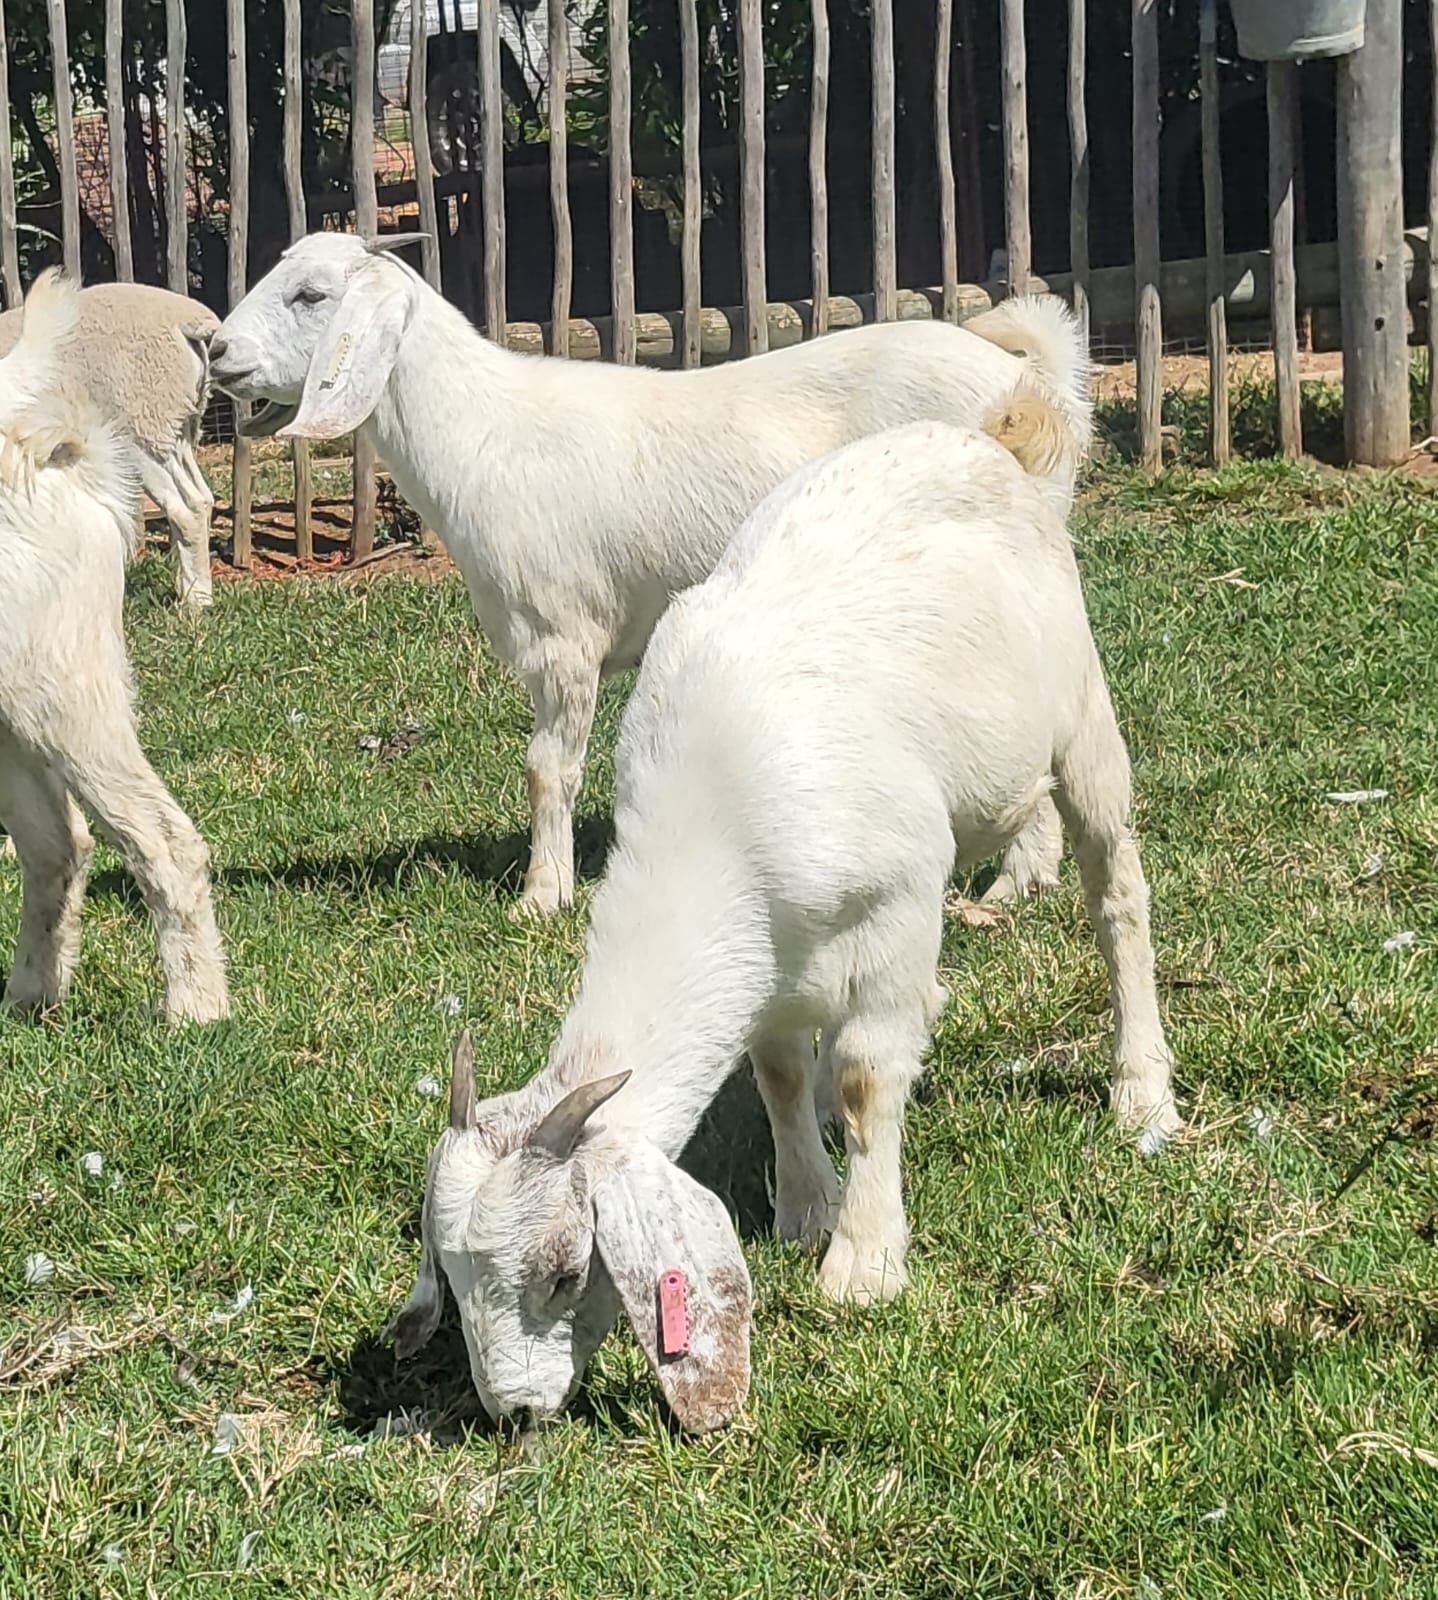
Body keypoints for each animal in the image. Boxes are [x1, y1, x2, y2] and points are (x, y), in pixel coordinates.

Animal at [208, 232, 1091, 914]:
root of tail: (1028, 388)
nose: (215, 349)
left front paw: (543, 896)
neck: (477, 432)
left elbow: (547, 770)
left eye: (312, 294)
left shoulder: (562, 636)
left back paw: (1014, 885)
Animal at [387, 402, 1181, 1434]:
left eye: (564, 1273)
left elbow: (866, 1078)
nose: (514, 1412)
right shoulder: (764, 958)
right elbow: (778, 1071)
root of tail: (987, 438)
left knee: (1117, 898)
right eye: (448, 1271)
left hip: (1082, 717)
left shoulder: (897, 903)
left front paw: (863, 1263)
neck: (714, 812)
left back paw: (1142, 1089)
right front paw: (806, 1209)